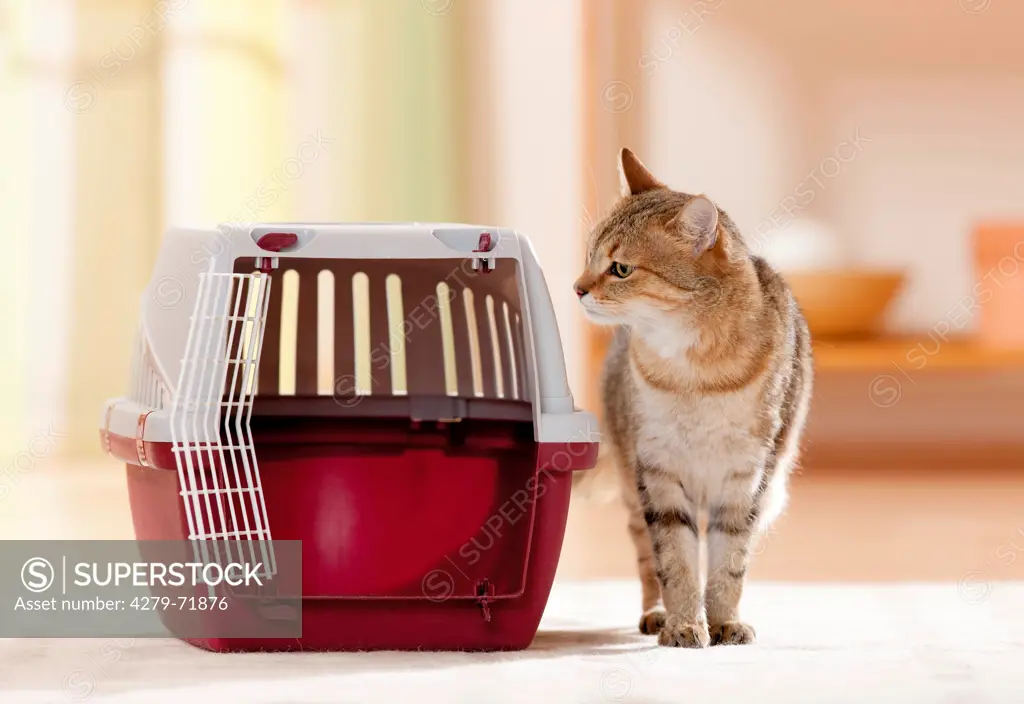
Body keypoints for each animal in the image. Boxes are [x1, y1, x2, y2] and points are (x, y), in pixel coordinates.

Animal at [573, 148, 811, 650]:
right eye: (588, 256)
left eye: (620, 269)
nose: (577, 287)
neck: (695, 377)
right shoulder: (658, 471)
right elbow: (676, 562)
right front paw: (683, 623)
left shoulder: (746, 478)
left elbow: (728, 566)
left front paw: (724, 623)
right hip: (633, 484)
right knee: (647, 561)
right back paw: (656, 614)